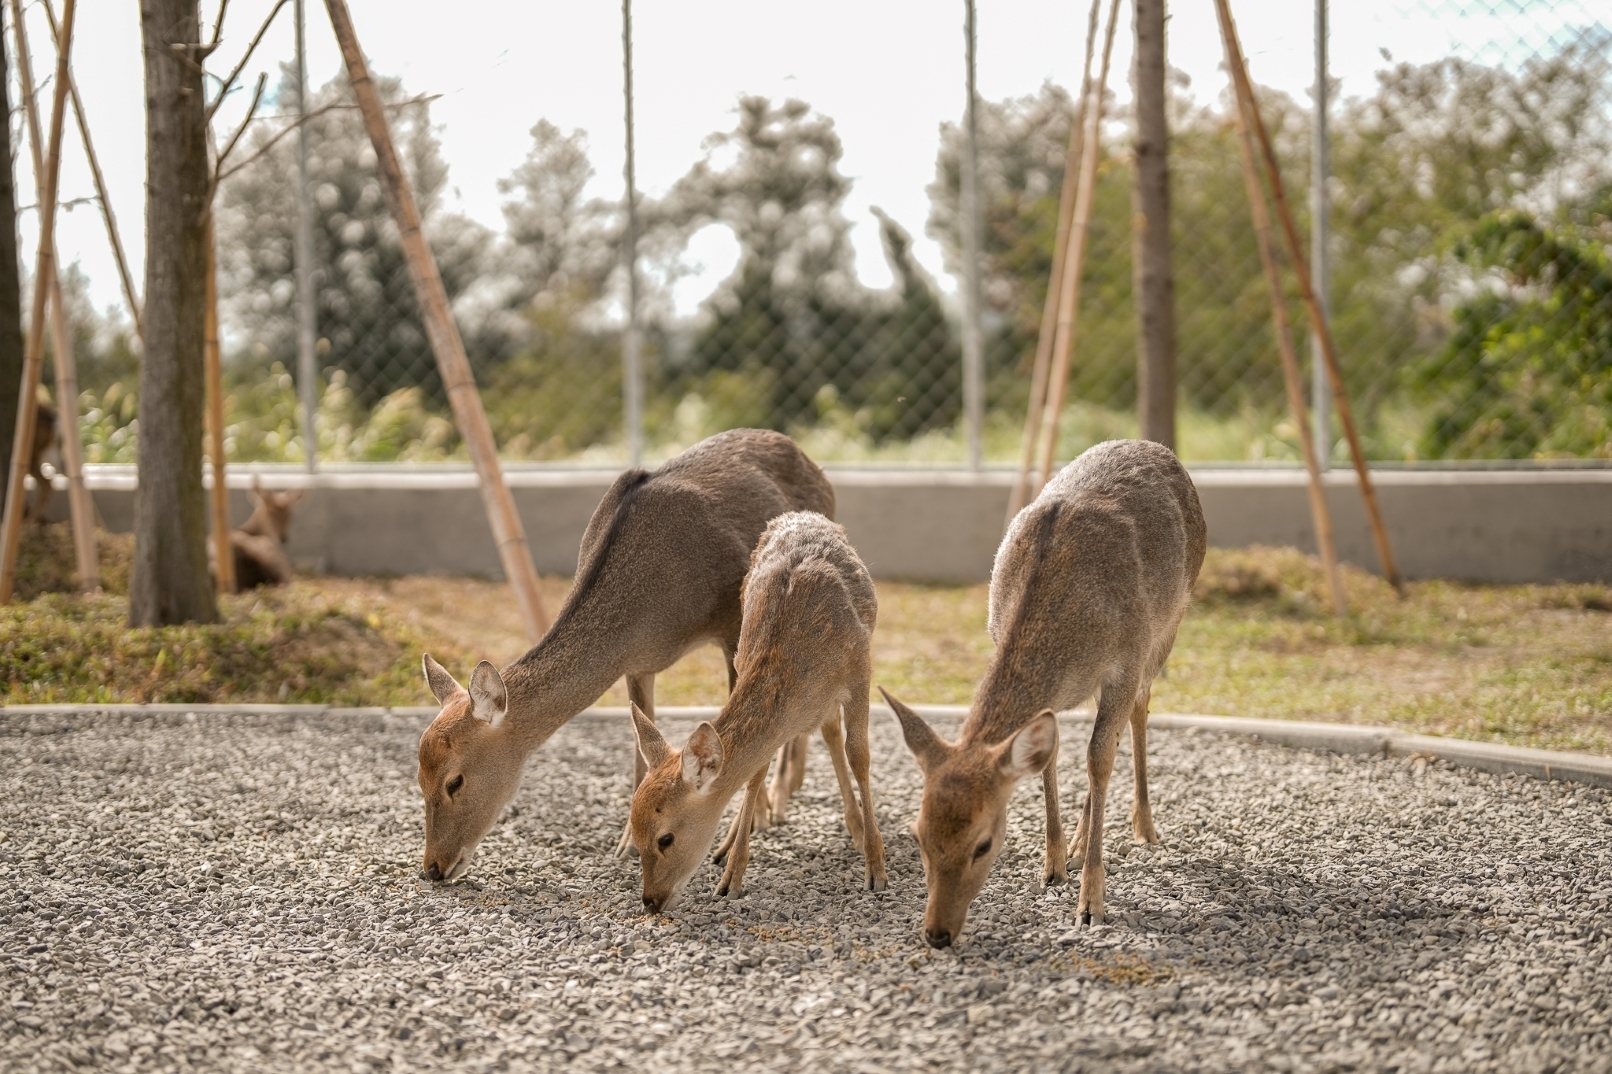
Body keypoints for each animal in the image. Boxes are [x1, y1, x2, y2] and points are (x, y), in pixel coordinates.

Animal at [415, 432, 844, 883]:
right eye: (419, 777)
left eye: (455, 781)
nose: (432, 868)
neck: (652, 616)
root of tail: (811, 461)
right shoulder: (637, 666)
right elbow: (643, 746)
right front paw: (626, 844)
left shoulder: (733, 627)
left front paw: (745, 830)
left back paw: (778, 800)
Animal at [625, 509, 889, 903]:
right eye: (634, 831)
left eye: (665, 838)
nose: (651, 901)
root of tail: (803, 514)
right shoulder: (741, 661)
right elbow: (756, 771)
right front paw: (730, 877)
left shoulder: (859, 670)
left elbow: (859, 755)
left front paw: (877, 870)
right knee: (822, 732)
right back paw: (726, 846)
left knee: (833, 737)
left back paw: (856, 831)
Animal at [889, 438, 1205, 948]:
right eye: (917, 835)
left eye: (984, 843)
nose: (936, 933)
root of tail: (1155, 446)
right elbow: (1052, 755)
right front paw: (1053, 865)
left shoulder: (1127, 660)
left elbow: (1098, 757)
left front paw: (1091, 903)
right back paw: (1077, 843)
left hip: (1169, 625)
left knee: (1138, 712)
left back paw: (1143, 826)